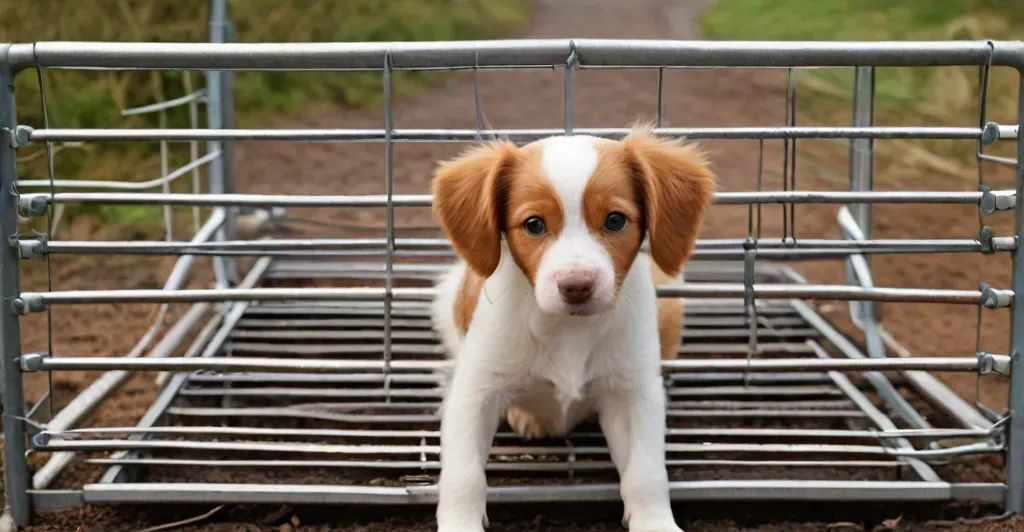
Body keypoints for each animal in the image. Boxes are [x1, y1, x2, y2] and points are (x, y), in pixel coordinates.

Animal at [430, 128, 712, 532]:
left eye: (615, 220)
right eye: (533, 224)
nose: (577, 286)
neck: (567, 326)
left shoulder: (633, 391)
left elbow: (646, 472)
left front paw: (655, 522)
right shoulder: (475, 390)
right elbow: (463, 474)